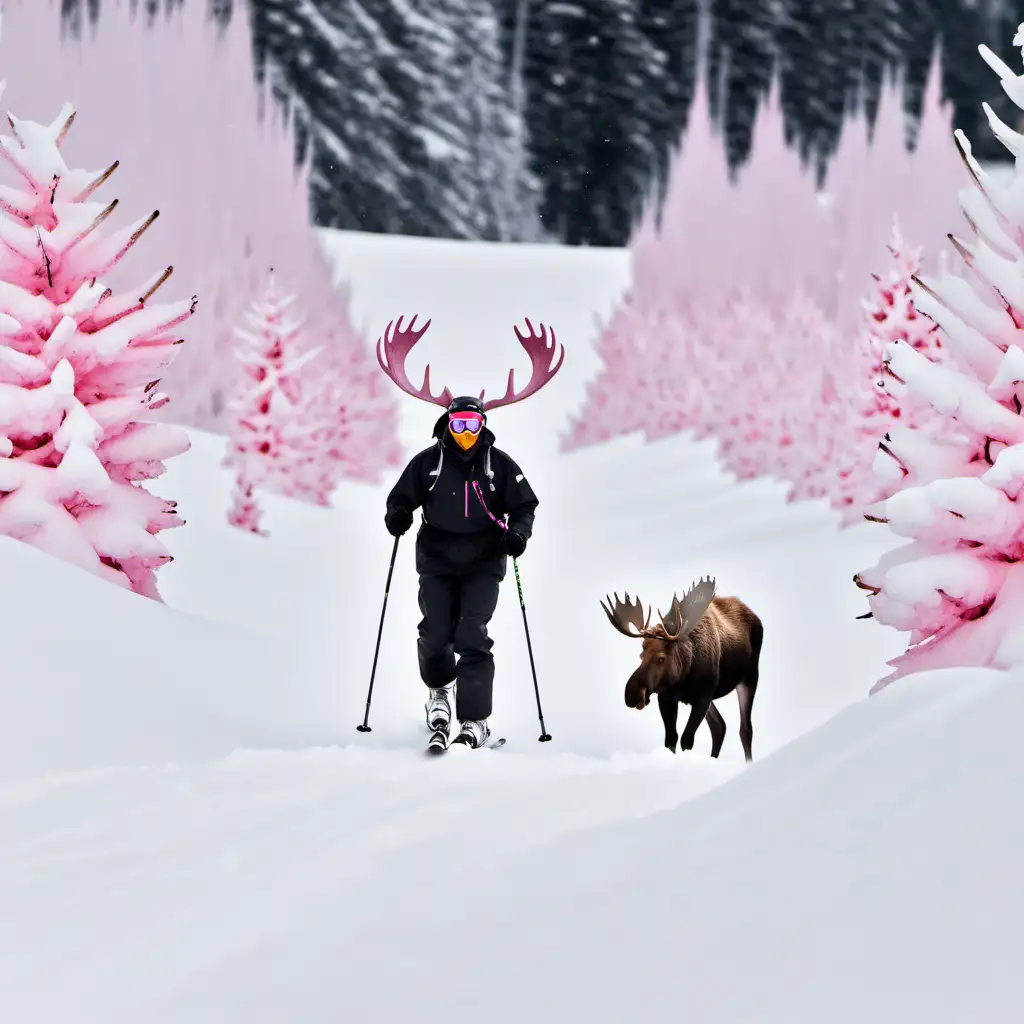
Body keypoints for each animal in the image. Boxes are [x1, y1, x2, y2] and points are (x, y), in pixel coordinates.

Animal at [598, 577, 761, 761]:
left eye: (661, 658)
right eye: (641, 655)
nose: (632, 695)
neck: (683, 676)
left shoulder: (703, 696)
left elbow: (686, 740)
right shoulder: (666, 696)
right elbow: (671, 739)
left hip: (750, 677)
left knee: (745, 729)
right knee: (719, 725)